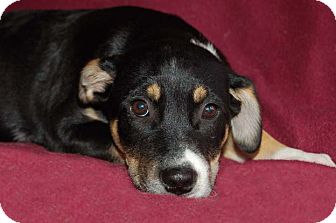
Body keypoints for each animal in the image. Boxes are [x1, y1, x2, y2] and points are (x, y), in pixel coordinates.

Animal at [0, 6, 334, 198]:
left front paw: (315, 159)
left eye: (210, 110)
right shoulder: (64, 126)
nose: (180, 182)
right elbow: (115, 143)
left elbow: (262, 143)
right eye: (139, 107)